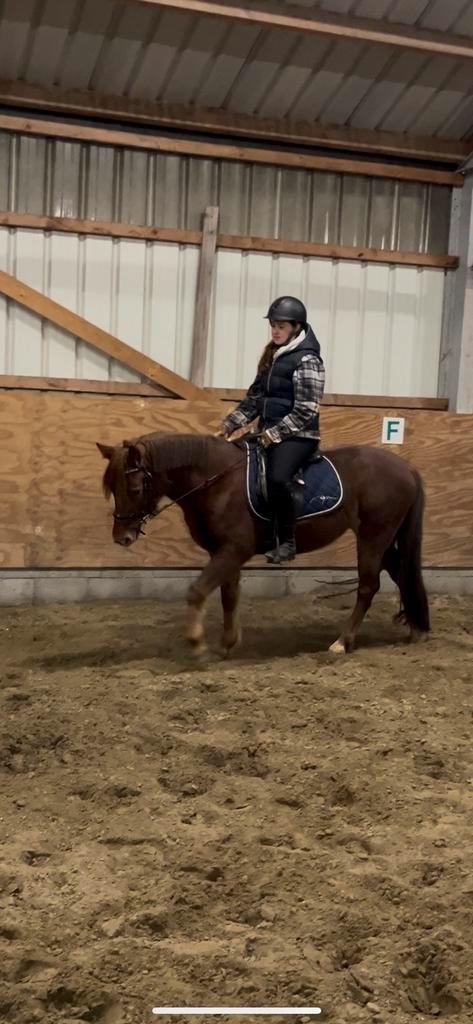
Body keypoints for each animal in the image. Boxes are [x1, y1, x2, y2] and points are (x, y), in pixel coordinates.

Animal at [97, 431, 430, 658]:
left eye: (135, 488)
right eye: (112, 487)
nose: (121, 537)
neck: (217, 482)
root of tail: (407, 469)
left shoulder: (234, 550)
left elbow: (198, 591)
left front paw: (196, 642)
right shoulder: (224, 552)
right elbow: (228, 596)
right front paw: (228, 643)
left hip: (374, 537)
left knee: (368, 586)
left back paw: (342, 642)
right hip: (384, 540)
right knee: (401, 574)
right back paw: (416, 629)